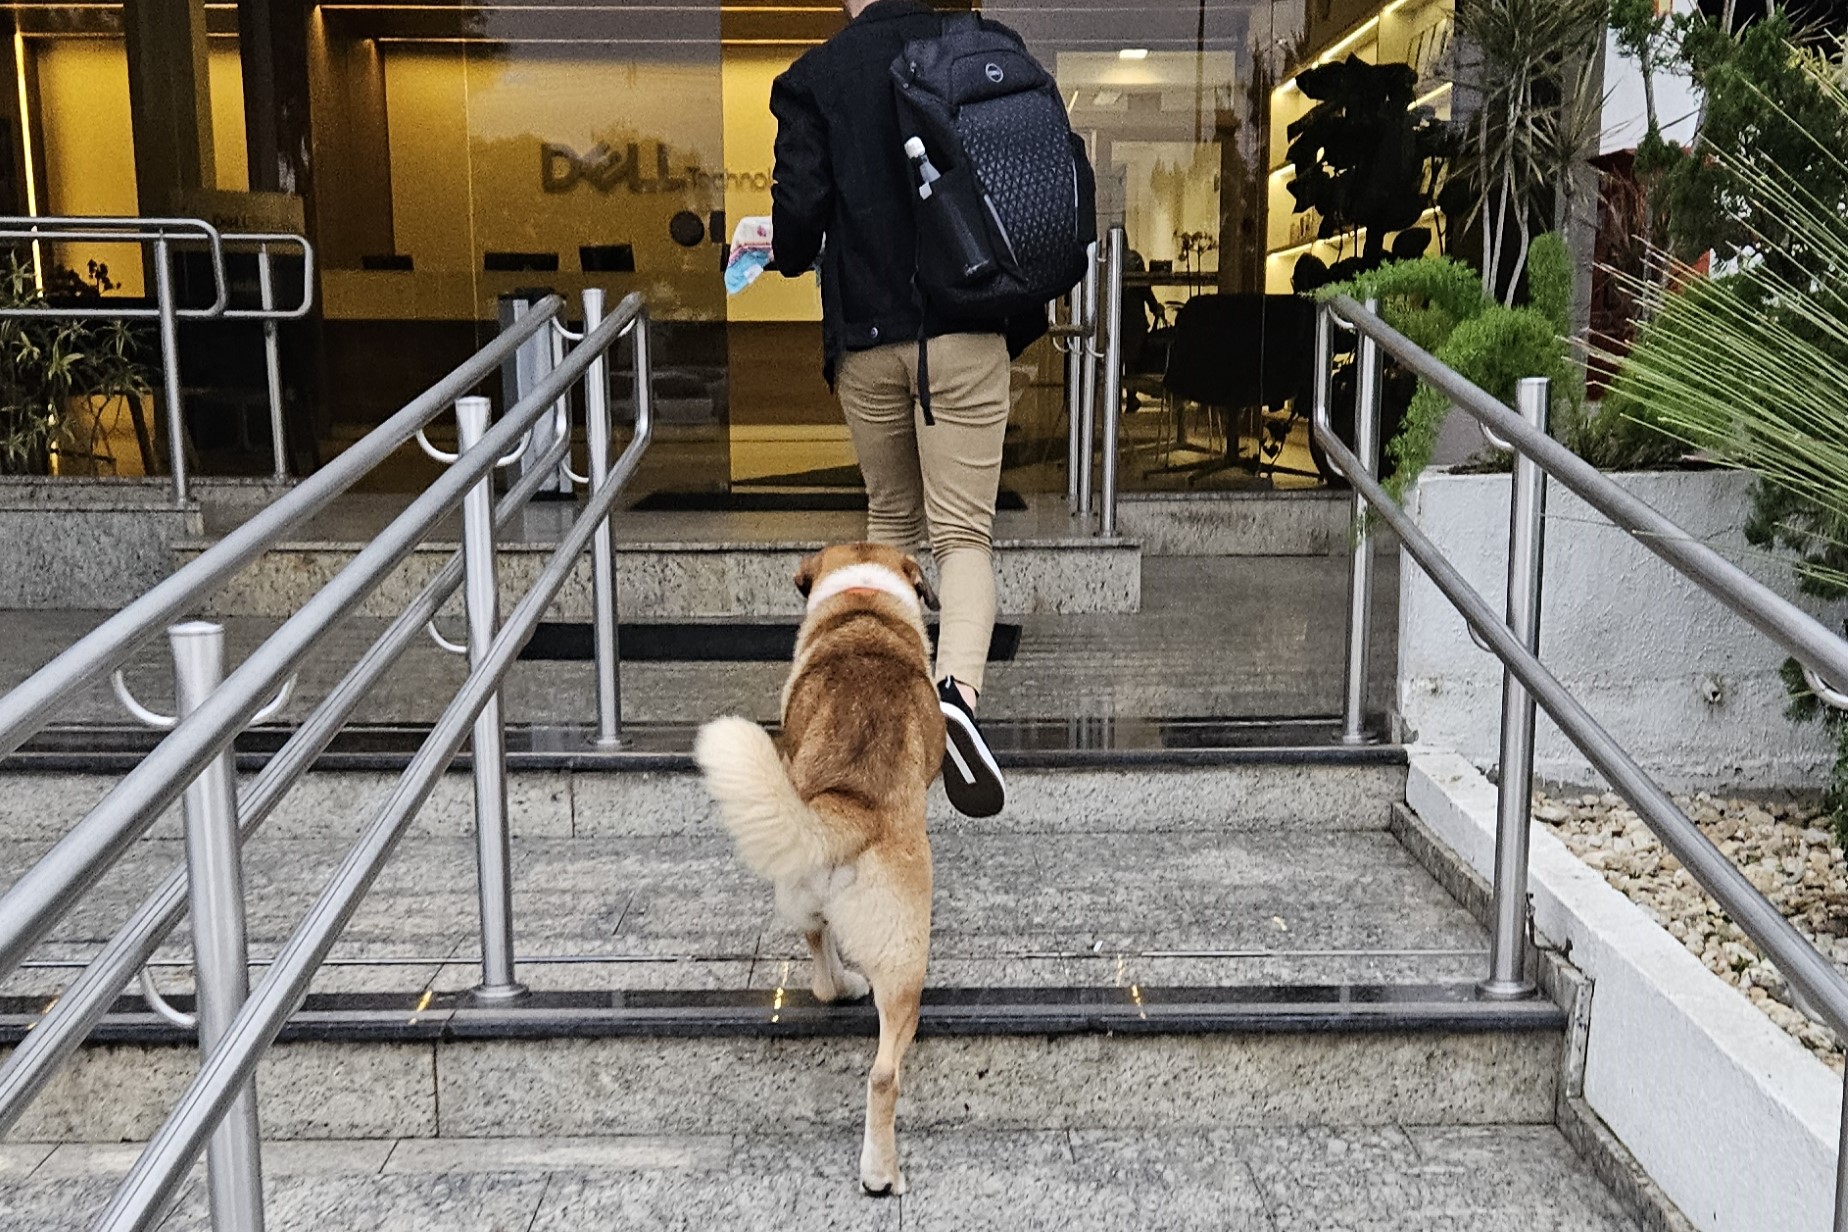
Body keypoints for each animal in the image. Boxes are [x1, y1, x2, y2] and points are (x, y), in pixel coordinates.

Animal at [698, 539, 946, 1196]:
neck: (862, 602)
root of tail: (846, 808)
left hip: (800, 887)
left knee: (822, 956)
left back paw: (840, 985)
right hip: (907, 957)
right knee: (884, 1074)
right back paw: (881, 1173)